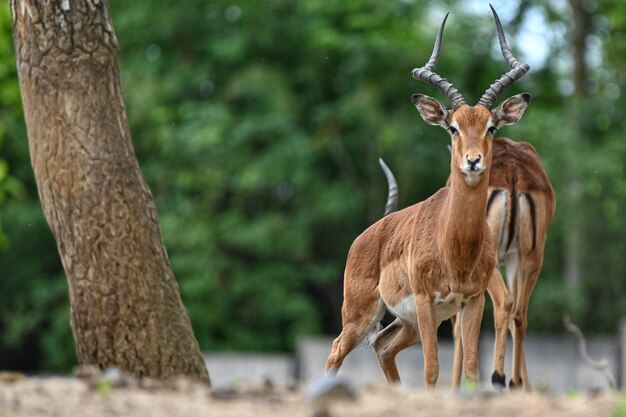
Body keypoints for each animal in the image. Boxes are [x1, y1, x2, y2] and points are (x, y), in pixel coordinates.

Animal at [324, 8, 528, 388]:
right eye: (453, 127)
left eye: (491, 126)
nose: (473, 161)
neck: (455, 247)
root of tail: (366, 235)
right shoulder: (424, 300)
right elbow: (432, 368)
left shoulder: (472, 301)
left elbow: (472, 369)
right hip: (362, 314)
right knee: (336, 350)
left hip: (409, 325)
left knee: (382, 346)